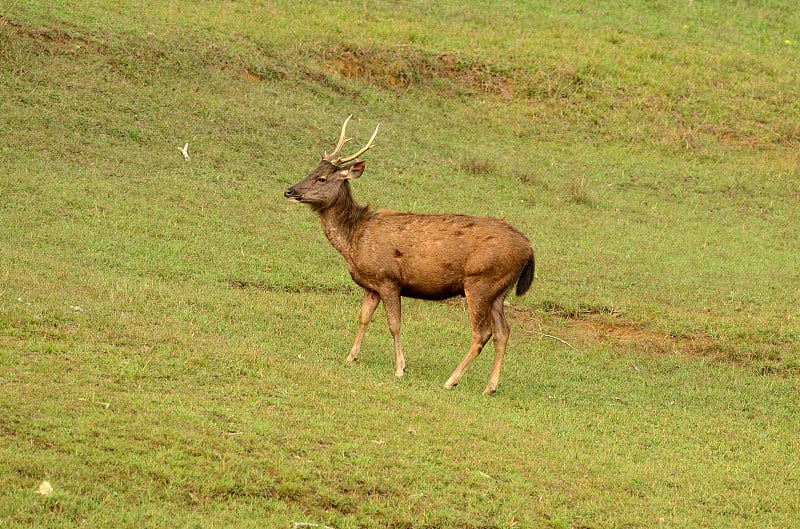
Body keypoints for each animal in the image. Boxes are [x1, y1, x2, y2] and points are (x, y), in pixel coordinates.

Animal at [284, 117, 536, 394]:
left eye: (321, 178)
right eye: (310, 171)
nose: (289, 191)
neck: (354, 239)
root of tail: (529, 248)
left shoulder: (388, 279)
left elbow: (394, 324)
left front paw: (400, 368)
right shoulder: (371, 284)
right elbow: (363, 318)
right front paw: (351, 357)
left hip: (481, 281)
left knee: (482, 333)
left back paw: (451, 380)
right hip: (499, 290)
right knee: (504, 331)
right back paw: (490, 387)